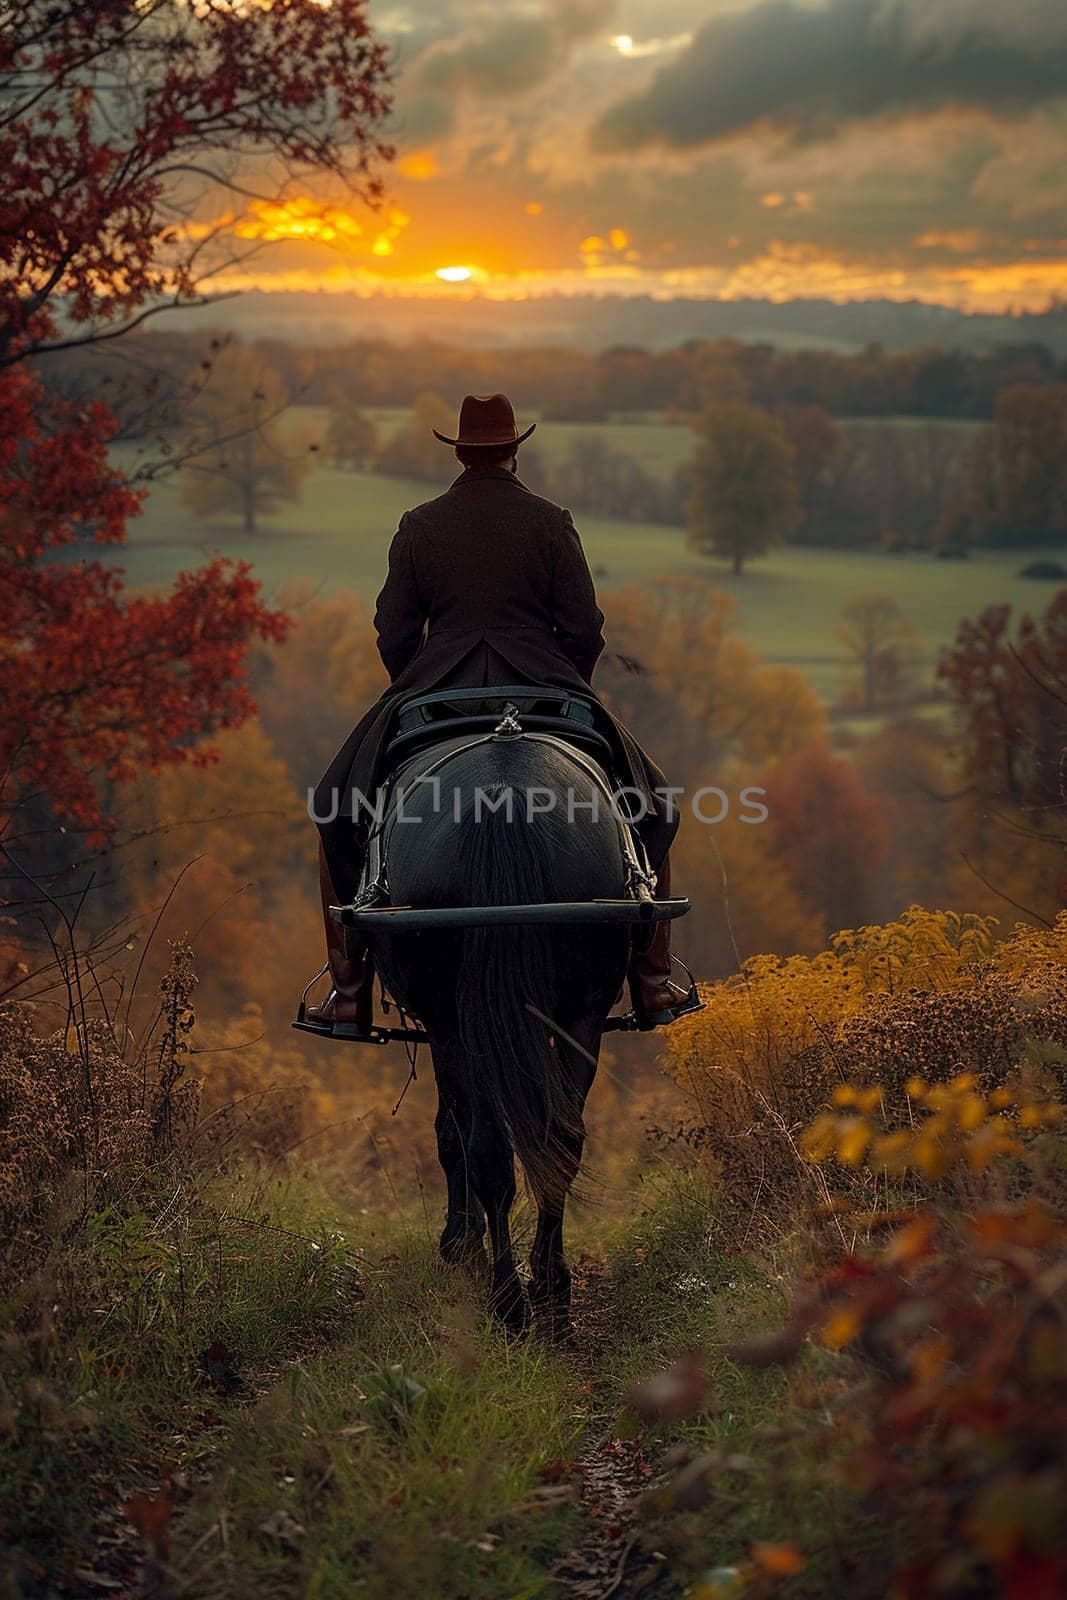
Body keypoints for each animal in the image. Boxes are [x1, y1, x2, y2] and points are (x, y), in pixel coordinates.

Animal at [369, 732, 633, 1337]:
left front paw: (460, 1246)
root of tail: (506, 796)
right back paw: (550, 1294)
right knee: (559, 1142)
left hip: (458, 1027)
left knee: (489, 1149)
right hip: (579, 1016)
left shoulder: (446, 1033)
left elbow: (453, 1136)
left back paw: (508, 1300)